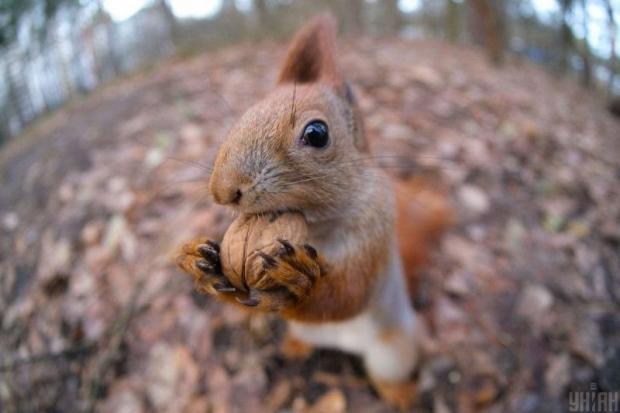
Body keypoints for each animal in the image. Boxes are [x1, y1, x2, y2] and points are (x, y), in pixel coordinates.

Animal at [177, 13, 452, 408]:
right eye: (240, 119)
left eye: (318, 133)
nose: (222, 191)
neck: (314, 227)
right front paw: (203, 264)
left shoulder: (376, 233)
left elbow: (349, 292)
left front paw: (297, 283)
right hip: (304, 328)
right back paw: (294, 346)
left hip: (393, 352)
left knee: (388, 371)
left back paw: (400, 393)